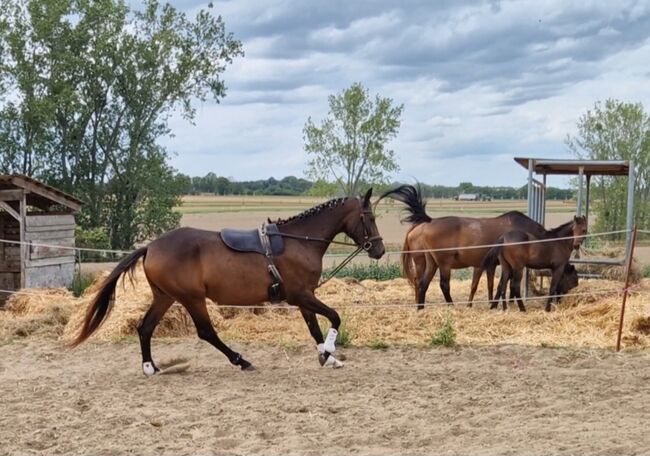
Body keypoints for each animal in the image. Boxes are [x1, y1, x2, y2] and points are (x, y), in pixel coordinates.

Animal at [71, 189, 382, 374]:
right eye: (369, 217)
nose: (378, 249)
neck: (299, 241)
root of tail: (151, 246)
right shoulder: (301, 295)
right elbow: (335, 317)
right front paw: (329, 352)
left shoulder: (305, 297)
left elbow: (315, 328)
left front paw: (327, 357)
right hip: (191, 298)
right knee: (206, 332)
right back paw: (241, 360)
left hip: (165, 296)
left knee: (145, 327)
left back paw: (151, 367)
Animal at [380, 185, 548, 310]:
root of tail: (428, 223)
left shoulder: (488, 265)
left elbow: (488, 285)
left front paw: (490, 303)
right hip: (442, 264)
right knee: (442, 285)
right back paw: (450, 305)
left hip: (432, 263)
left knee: (422, 283)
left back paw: (421, 307)